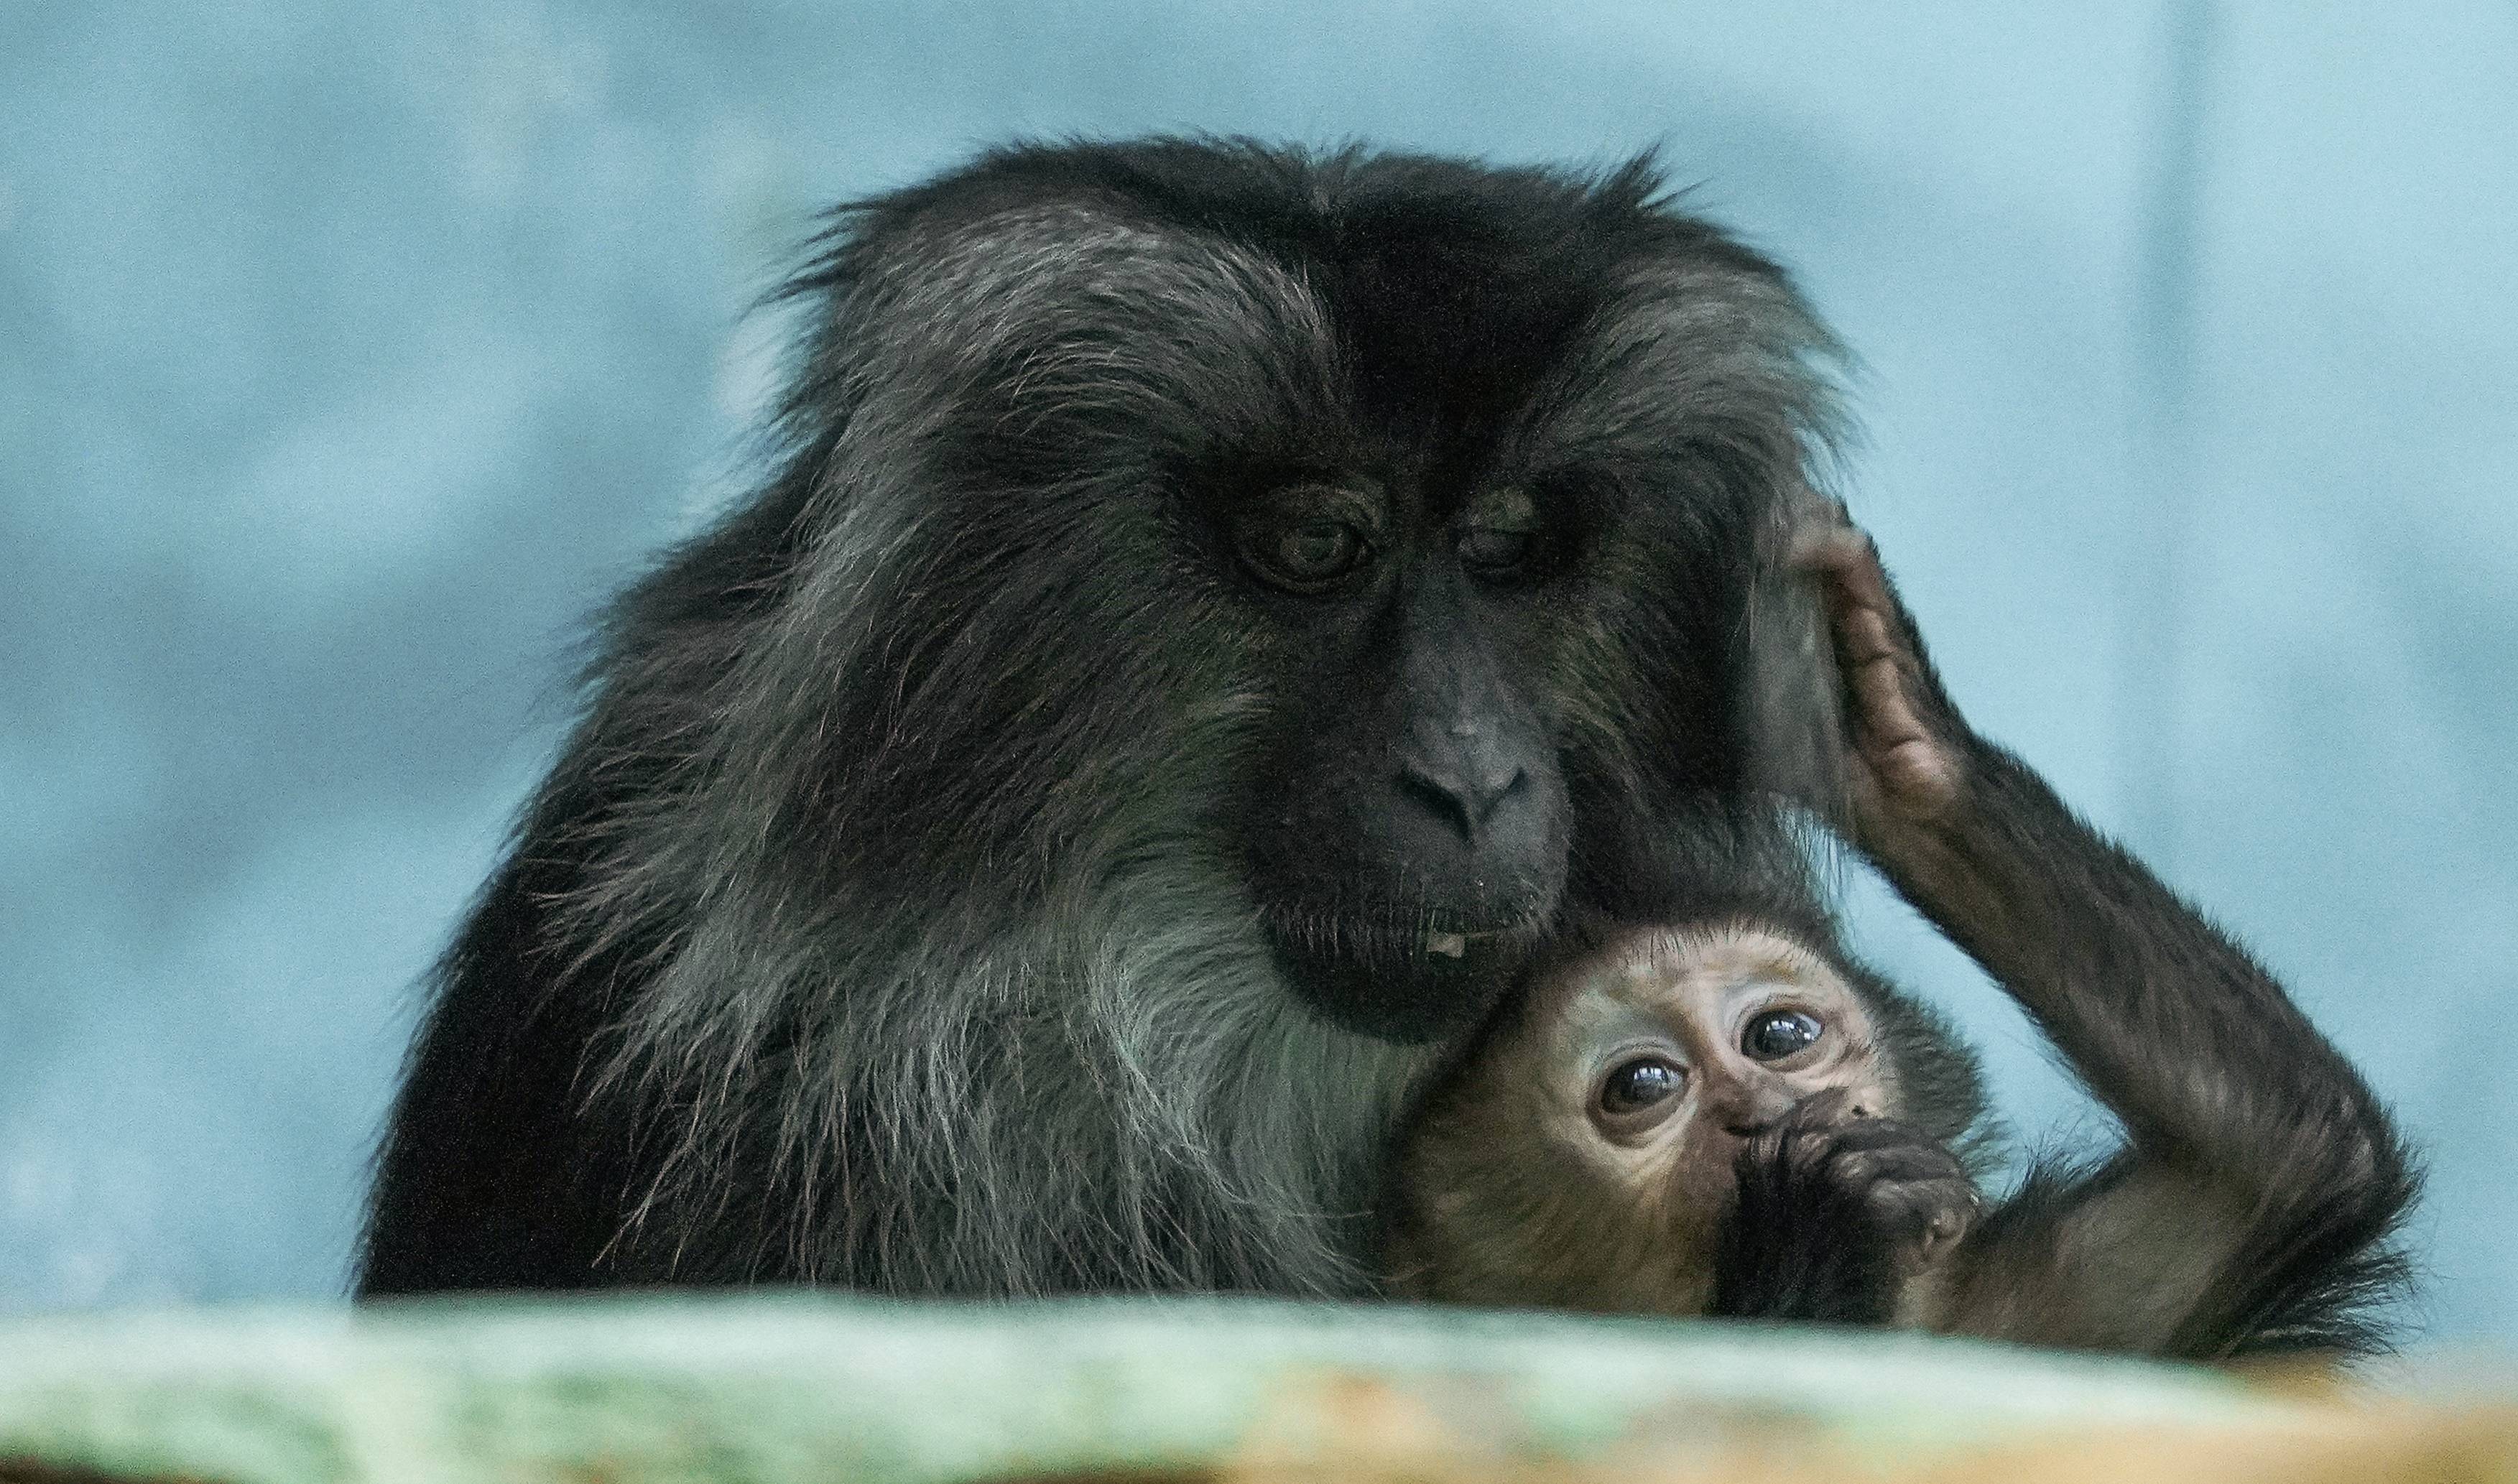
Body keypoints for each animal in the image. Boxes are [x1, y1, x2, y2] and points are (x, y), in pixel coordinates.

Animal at [1389, 521, 2427, 1350]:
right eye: (1641, 1086)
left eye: (1779, 1035)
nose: (1760, 1109)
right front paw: (1815, 1221)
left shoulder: (2063, 1299)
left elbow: (2303, 1154)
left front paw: (1877, 719)